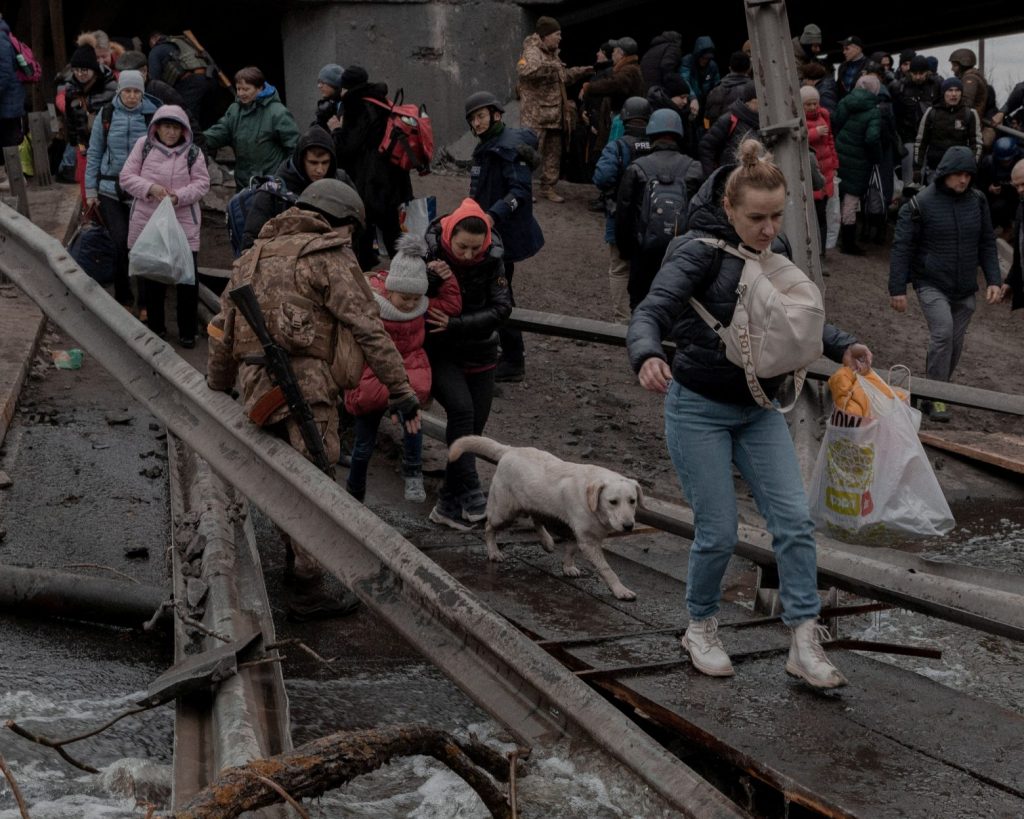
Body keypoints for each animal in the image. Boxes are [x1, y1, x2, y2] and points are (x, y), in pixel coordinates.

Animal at [446, 434, 638, 601]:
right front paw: (620, 590)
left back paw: (546, 541)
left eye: (632, 501)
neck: (591, 500)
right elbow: (606, 569)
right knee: (489, 528)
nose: (629, 526)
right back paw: (493, 552)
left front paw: (568, 567)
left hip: (536, 504)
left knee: (536, 519)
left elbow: (571, 549)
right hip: (504, 512)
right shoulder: (588, 541)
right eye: (613, 502)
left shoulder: (577, 533)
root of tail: (511, 450)